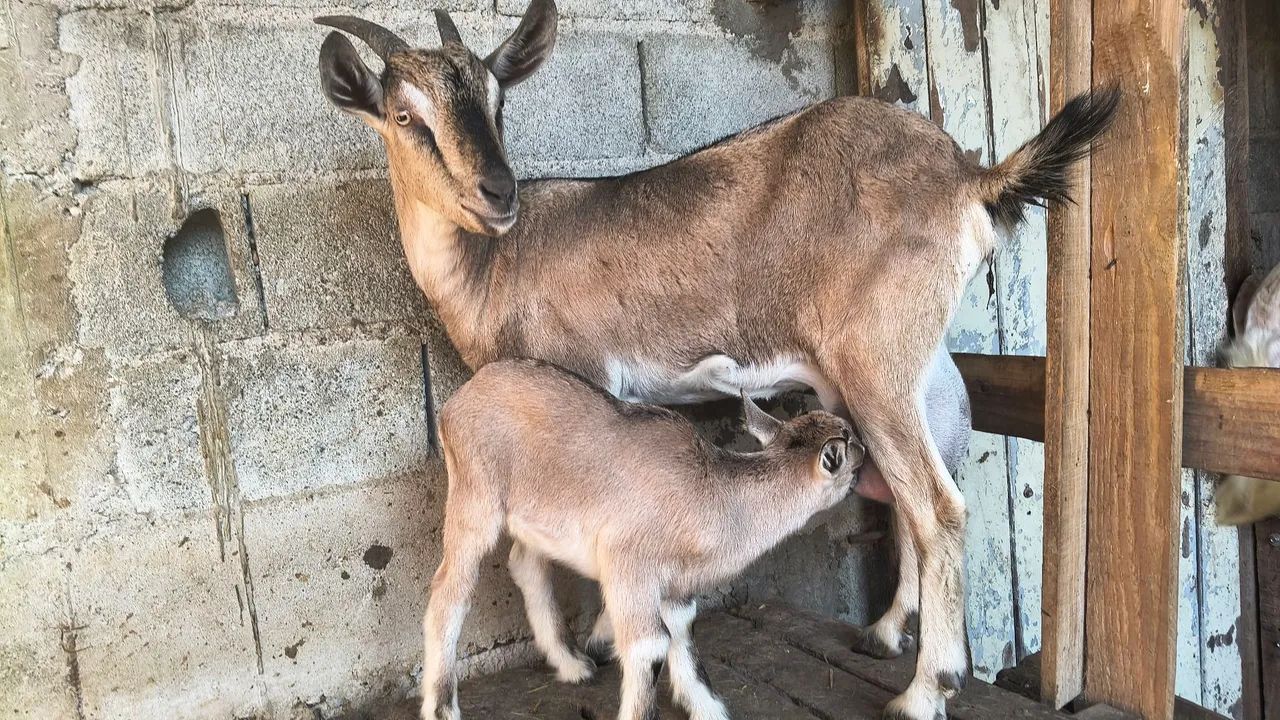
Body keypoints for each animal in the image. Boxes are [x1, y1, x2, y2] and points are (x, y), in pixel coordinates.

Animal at [423, 358, 866, 720]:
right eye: (849, 446)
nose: (864, 447)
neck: (713, 494)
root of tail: (460, 398)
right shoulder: (629, 566)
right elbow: (650, 645)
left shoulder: (676, 583)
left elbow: (683, 633)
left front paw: (707, 708)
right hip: (475, 494)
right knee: (449, 591)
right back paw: (442, 706)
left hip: (535, 514)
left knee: (526, 563)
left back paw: (572, 665)